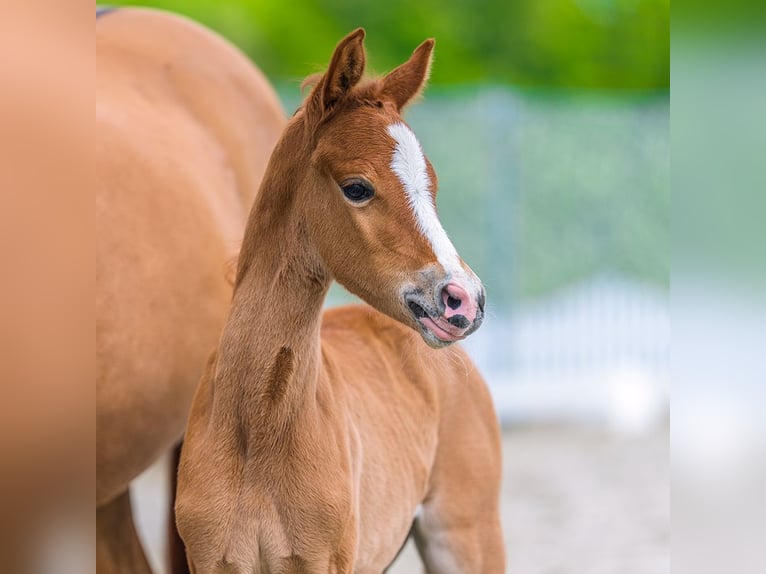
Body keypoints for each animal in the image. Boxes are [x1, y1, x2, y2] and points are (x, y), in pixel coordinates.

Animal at [176, 29, 504, 573]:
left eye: (432, 186)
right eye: (357, 187)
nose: (464, 299)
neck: (255, 430)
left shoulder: (324, 561)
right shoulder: (212, 560)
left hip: (467, 534)